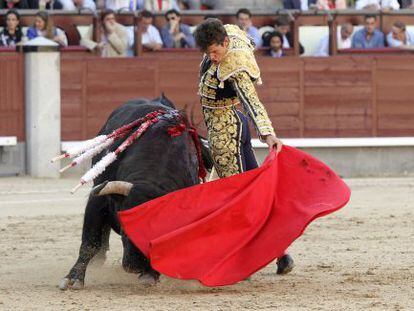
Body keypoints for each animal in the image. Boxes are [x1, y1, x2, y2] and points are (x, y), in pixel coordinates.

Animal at [59, 96, 213, 292]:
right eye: (125, 228)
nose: (135, 266)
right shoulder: (99, 199)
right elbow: (90, 242)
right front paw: (73, 279)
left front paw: (151, 275)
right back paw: (97, 261)